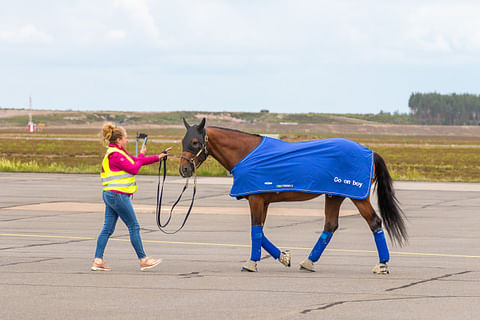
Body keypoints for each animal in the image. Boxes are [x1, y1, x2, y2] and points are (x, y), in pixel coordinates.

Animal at [178, 119, 406, 274]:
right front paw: (283, 257)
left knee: (374, 222)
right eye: (183, 141)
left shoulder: (256, 200)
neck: (247, 153)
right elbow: (260, 232)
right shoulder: (263, 201)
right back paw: (308, 262)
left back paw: (382, 264)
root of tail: (370, 152)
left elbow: (255, 230)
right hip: (334, 195)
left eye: (196, 142)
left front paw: (251, 263)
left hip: (358, 197)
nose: (184, 169)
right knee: (330, 225)